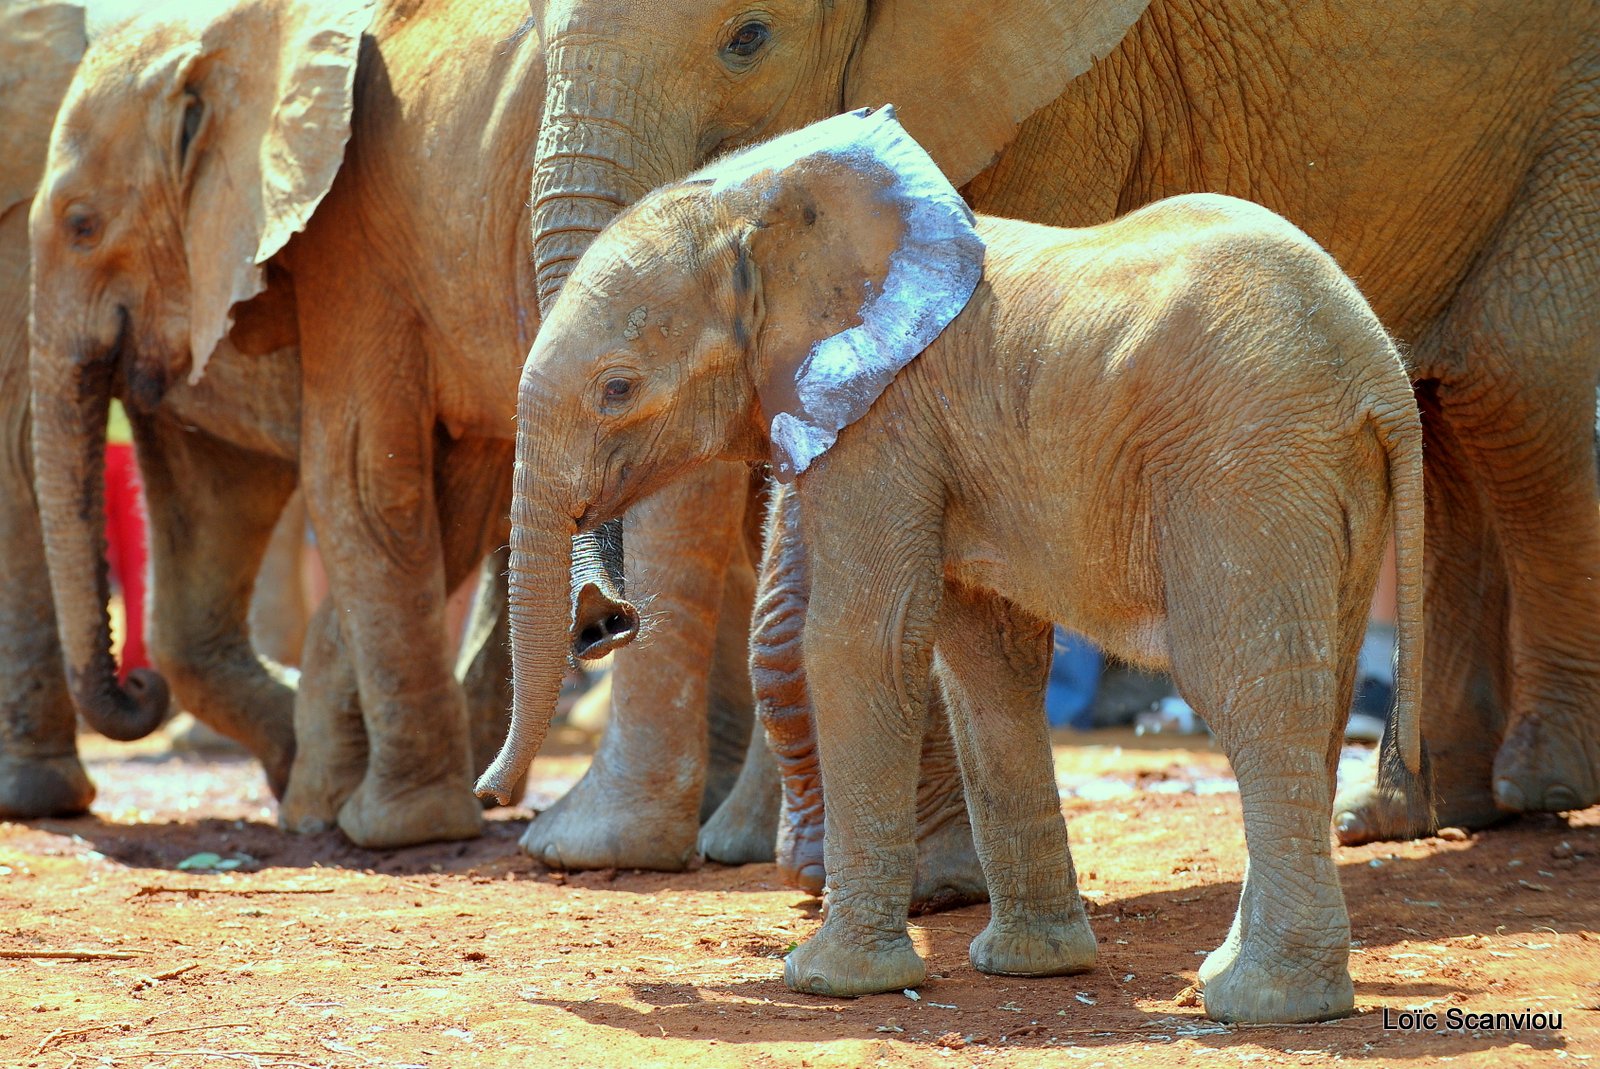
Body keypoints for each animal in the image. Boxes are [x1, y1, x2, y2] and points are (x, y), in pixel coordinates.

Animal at [480, 106, 1433, 1024]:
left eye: (617, 388)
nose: (607, 621)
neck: (763, 201)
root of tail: (1381, 373)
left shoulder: (885, 424)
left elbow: (860, 642)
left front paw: (827, 982)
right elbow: (984, 661)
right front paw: (1031, 966)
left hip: (1246, 466)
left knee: (1249, 688)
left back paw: (1266, 1004)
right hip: (1323, 479)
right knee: (1317, 692)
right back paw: (1233, 976)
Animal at [524, 0, 1600, 857]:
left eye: (747, 38)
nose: (605, 620)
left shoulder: (1060, 104)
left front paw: (923, 885)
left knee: (1513, 387)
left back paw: (1539, 783)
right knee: (1444, 413)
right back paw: (1406, 813)